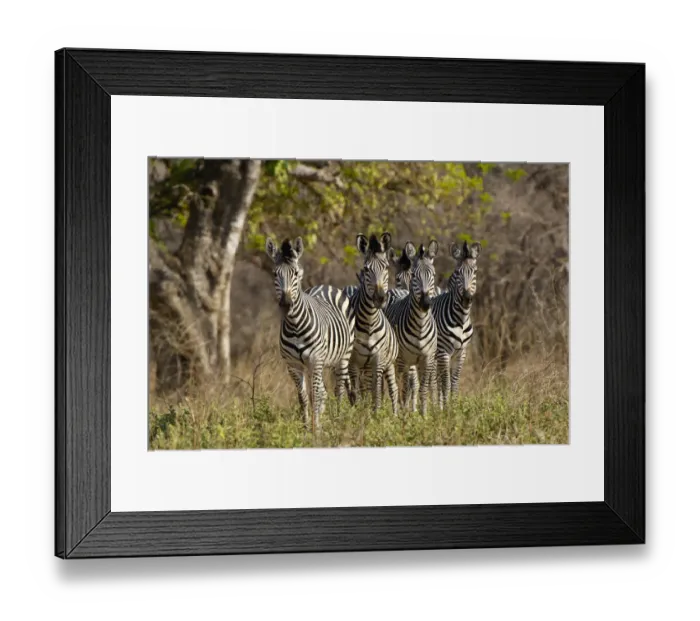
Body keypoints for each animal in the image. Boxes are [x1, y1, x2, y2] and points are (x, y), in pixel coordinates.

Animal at [265, 236, 355, 431]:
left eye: (296, 273)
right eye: (275, 274)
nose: (286, 304)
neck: (295, 326)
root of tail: (324, 286)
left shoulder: (315, 360)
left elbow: (315, 397)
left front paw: (316, 430)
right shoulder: (293, 365)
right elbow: (304, 398)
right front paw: (307, 428)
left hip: (342, 357)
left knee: (338, 391)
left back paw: (338, 420)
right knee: (323, 392)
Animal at [348, 232, 400, 414]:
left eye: (386, 267)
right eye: (366, 269)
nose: (379, 298)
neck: (369, 322)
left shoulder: (378, 360)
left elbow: (376, 394)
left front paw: (376, 415)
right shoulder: (354, 362)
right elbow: (356, 393)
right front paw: (358, 414)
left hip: (388, 364)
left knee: (393, 389)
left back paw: (395, 415)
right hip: (364, 367)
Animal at [384, 240, 439, 415]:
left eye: (433, 275)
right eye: (415, 276)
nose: (426, 303)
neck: (420, 325)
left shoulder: (426, 359)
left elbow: (422, 389)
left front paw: (423, 415)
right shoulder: (402, 360)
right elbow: (402, 389)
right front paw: (403, 415)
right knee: (394, 385)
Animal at [432, 239, 481, 409]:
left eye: (475, 272)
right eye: (458, 273)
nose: (466, 298)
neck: (461, 318)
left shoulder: (461, 353)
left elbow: (454, 383)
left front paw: (452, 407)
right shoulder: (444, 352)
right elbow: (446, 383)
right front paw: (447, 410)